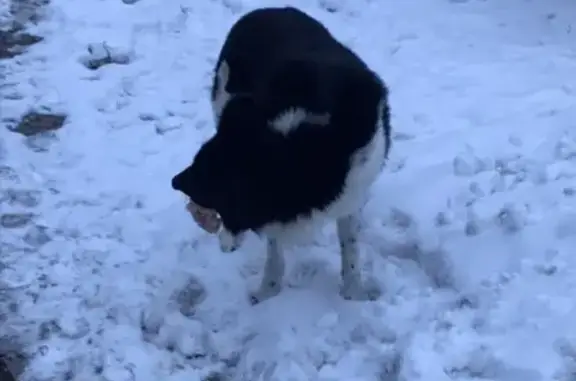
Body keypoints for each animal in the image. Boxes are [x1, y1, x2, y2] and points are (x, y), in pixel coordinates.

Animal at [171, 5, 392, 302]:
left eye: (206, 175)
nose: (175, 181)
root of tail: (265, 9)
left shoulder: (353, 191)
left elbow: (350, 249)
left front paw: (353, 294)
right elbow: (274, 251)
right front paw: (268, 293)